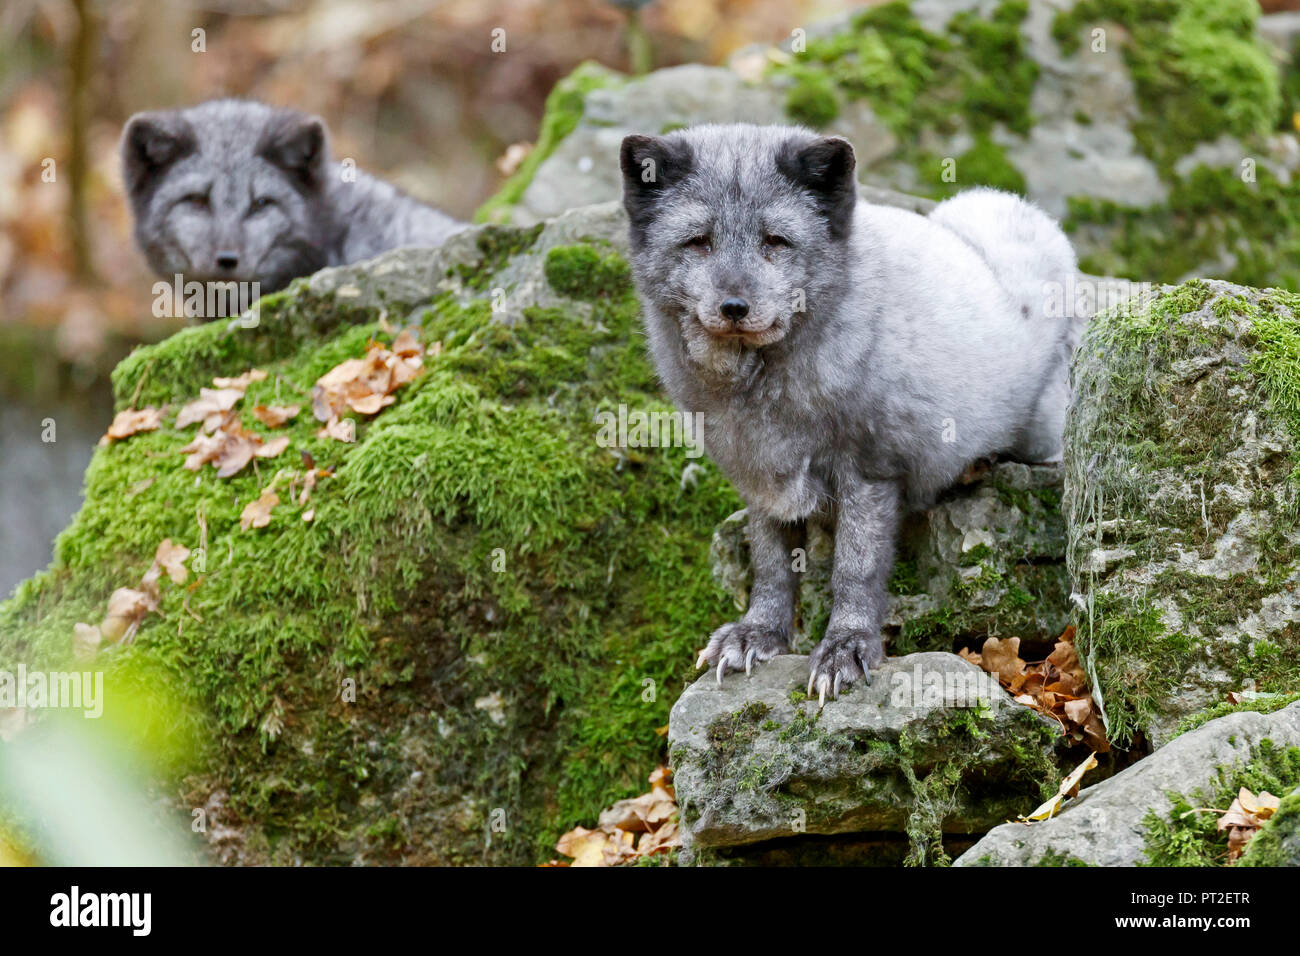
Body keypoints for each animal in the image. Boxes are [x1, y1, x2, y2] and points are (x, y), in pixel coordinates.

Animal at [618, 123, 1076, 702]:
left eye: (776, 242)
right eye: (698, 241)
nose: (734, 307)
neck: (762, 391)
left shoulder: (872, 468)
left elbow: (853, 569)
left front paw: (847, 647)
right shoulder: (760, 475)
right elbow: (770, 564)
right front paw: (758, 634)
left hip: (1036, 428)